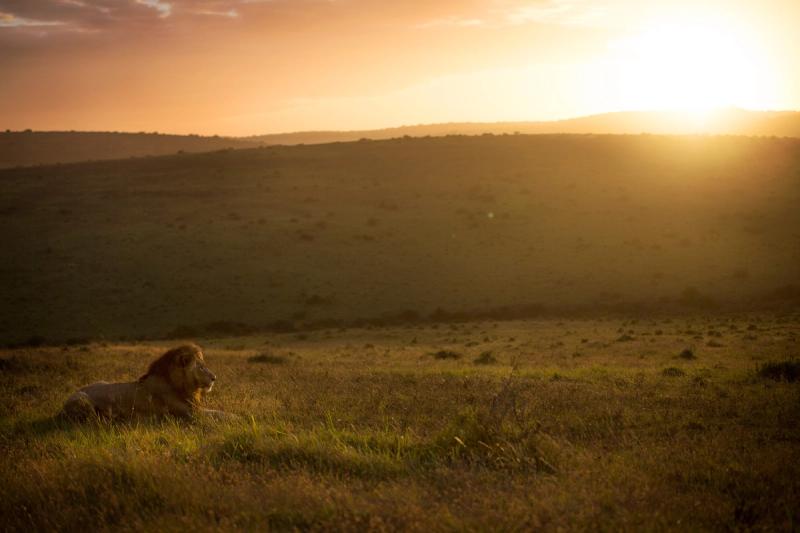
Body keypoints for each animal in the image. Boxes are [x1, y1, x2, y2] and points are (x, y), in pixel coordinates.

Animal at [61, 343, 232, 421]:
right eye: (201, 367)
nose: (214, 378)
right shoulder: (189, 414)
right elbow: (218, 414)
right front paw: (236, 417)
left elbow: (218, 411)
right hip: (82, 400)